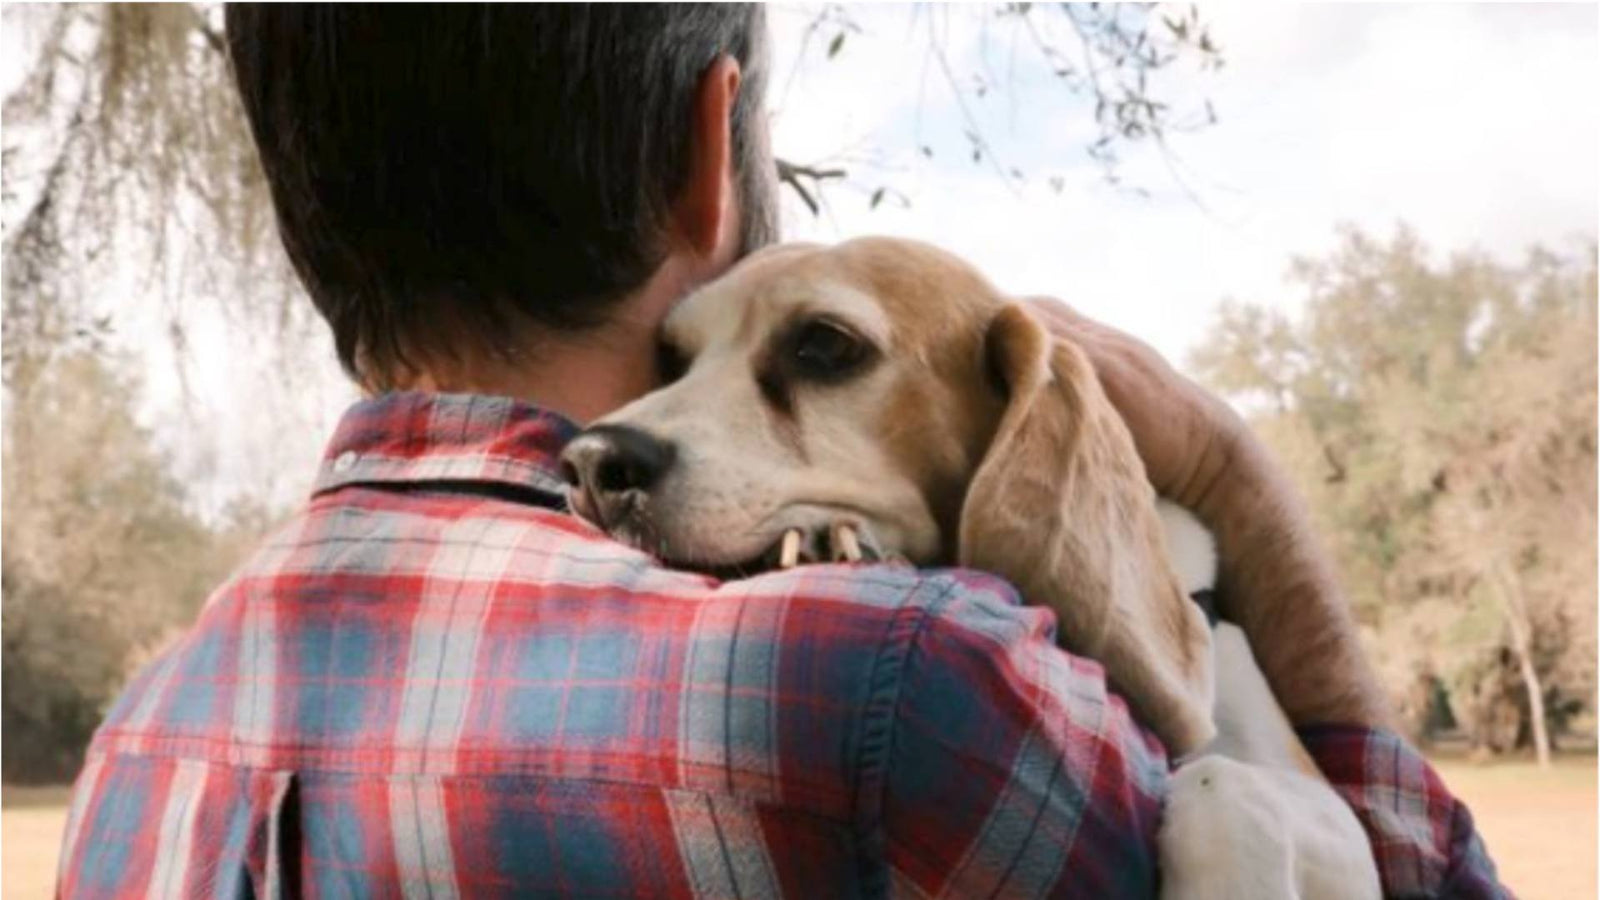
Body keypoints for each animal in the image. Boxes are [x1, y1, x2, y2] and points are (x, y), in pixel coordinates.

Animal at [566, 235, 1388, 890]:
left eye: (825, 345)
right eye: (672, 358)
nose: (591, 462)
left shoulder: (1318, 802)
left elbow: (1230, 782)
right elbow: (1227, 781)